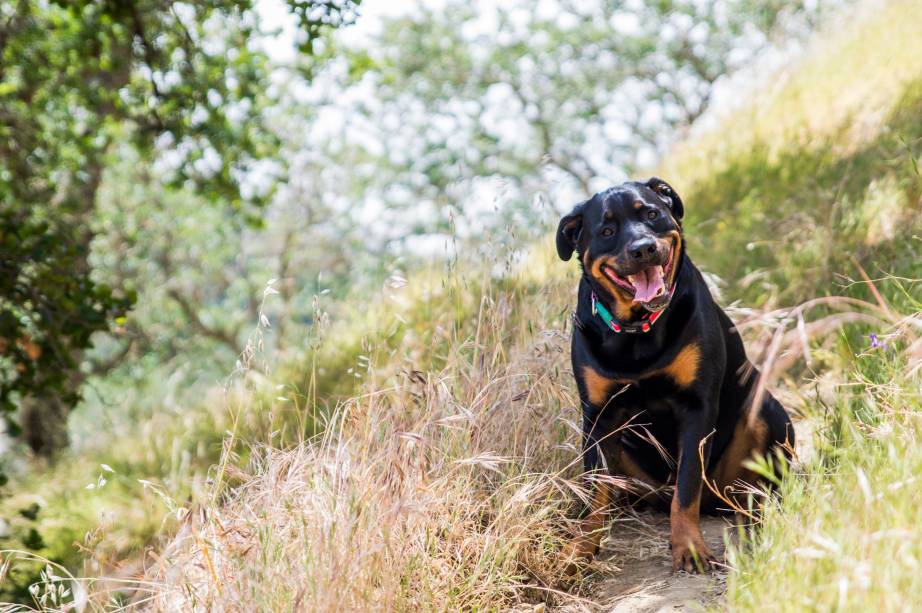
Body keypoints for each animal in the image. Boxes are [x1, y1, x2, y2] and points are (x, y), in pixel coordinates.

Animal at [552, 177, 792, 572]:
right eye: (606, 231)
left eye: (651, 214)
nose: (643, 249)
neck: (638, 334)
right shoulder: (599, 417)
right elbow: (594, 492)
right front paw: (580, 549)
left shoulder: (695, 406)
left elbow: (687, 485)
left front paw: (688, 547)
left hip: (766, 411)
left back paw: (756, 506)